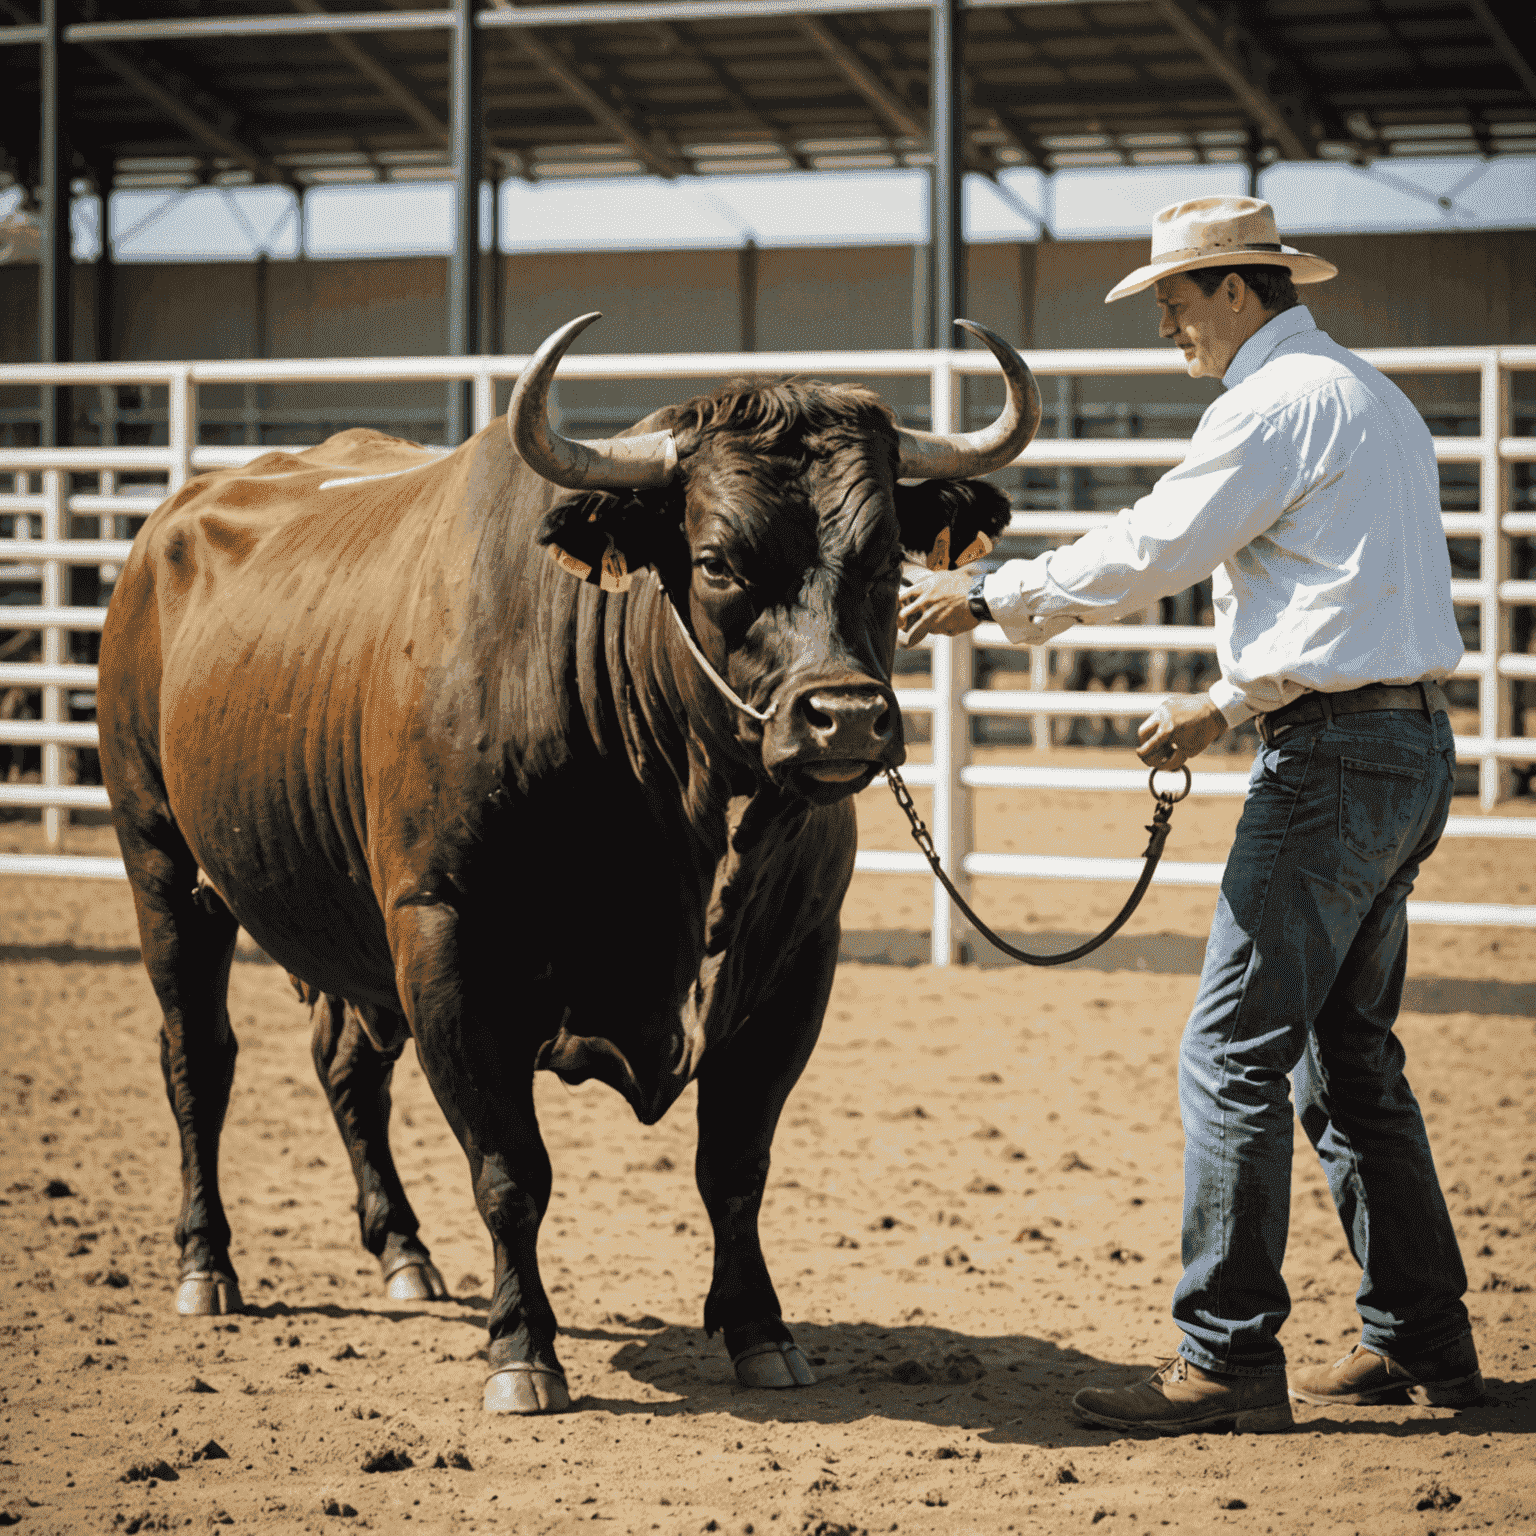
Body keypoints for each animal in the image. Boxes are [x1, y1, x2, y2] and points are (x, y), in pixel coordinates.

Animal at [89, 311, 1038, 1413]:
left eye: (886, 556)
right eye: (716, 560)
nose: (844, 717)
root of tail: (166, 530)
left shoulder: (797, 960)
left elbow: (736, 1164)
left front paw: (761, 1329)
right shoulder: (446, 943)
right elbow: (511, 1170)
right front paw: (521, 1350)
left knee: (347, 1068)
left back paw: (404, 1252)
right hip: (162, 866)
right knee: (198, 1059)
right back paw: (207, 1264)